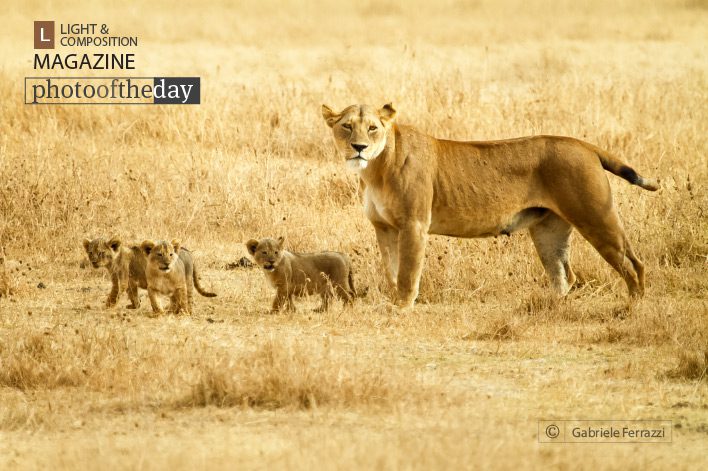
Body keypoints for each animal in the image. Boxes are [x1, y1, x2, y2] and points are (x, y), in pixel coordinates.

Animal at [322, 103, 660, 308]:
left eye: (373, 128)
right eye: (347, 127)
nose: (359, 147)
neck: (375, 170)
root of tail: (583, 144)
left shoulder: (414, 224)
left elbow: (407, 272)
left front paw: (402, 308)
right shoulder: (384, 228)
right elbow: (392, 271)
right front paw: (393, 301)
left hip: (596, 215)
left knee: (634, 263)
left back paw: (634, 307)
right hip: (549, 230)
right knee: (564, 275)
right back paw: (554, 308)